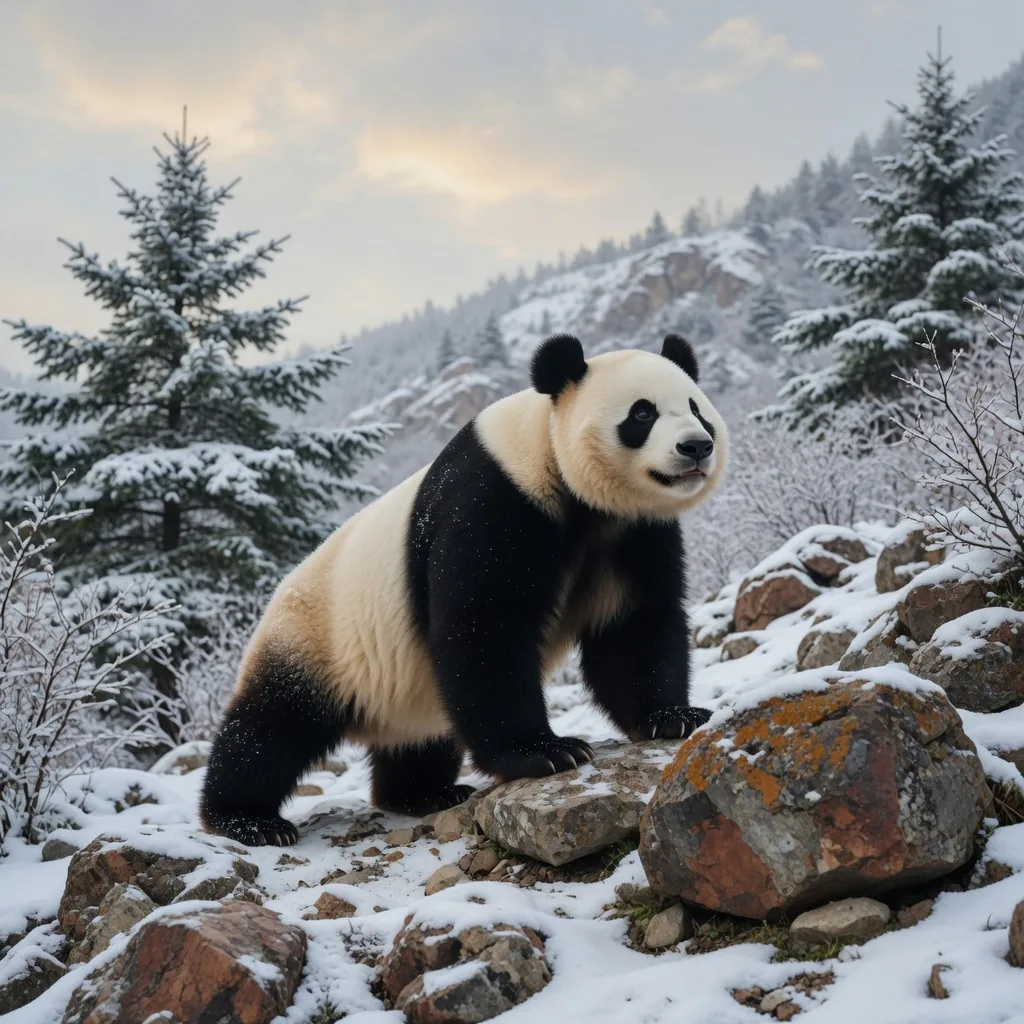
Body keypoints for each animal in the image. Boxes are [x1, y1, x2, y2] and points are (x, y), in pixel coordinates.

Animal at [200, 333, 728, 847]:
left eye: (697, 408)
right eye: (642, 414)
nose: (696, 446)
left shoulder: (632, 530)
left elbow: (633, 624)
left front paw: (672, 716)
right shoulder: (494, 498)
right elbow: (485, 627)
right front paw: (545, 752)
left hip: (407, 690)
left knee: (417, 741)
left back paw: (422, 792)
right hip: (314, 637)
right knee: (272, 728)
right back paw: (246, 819)